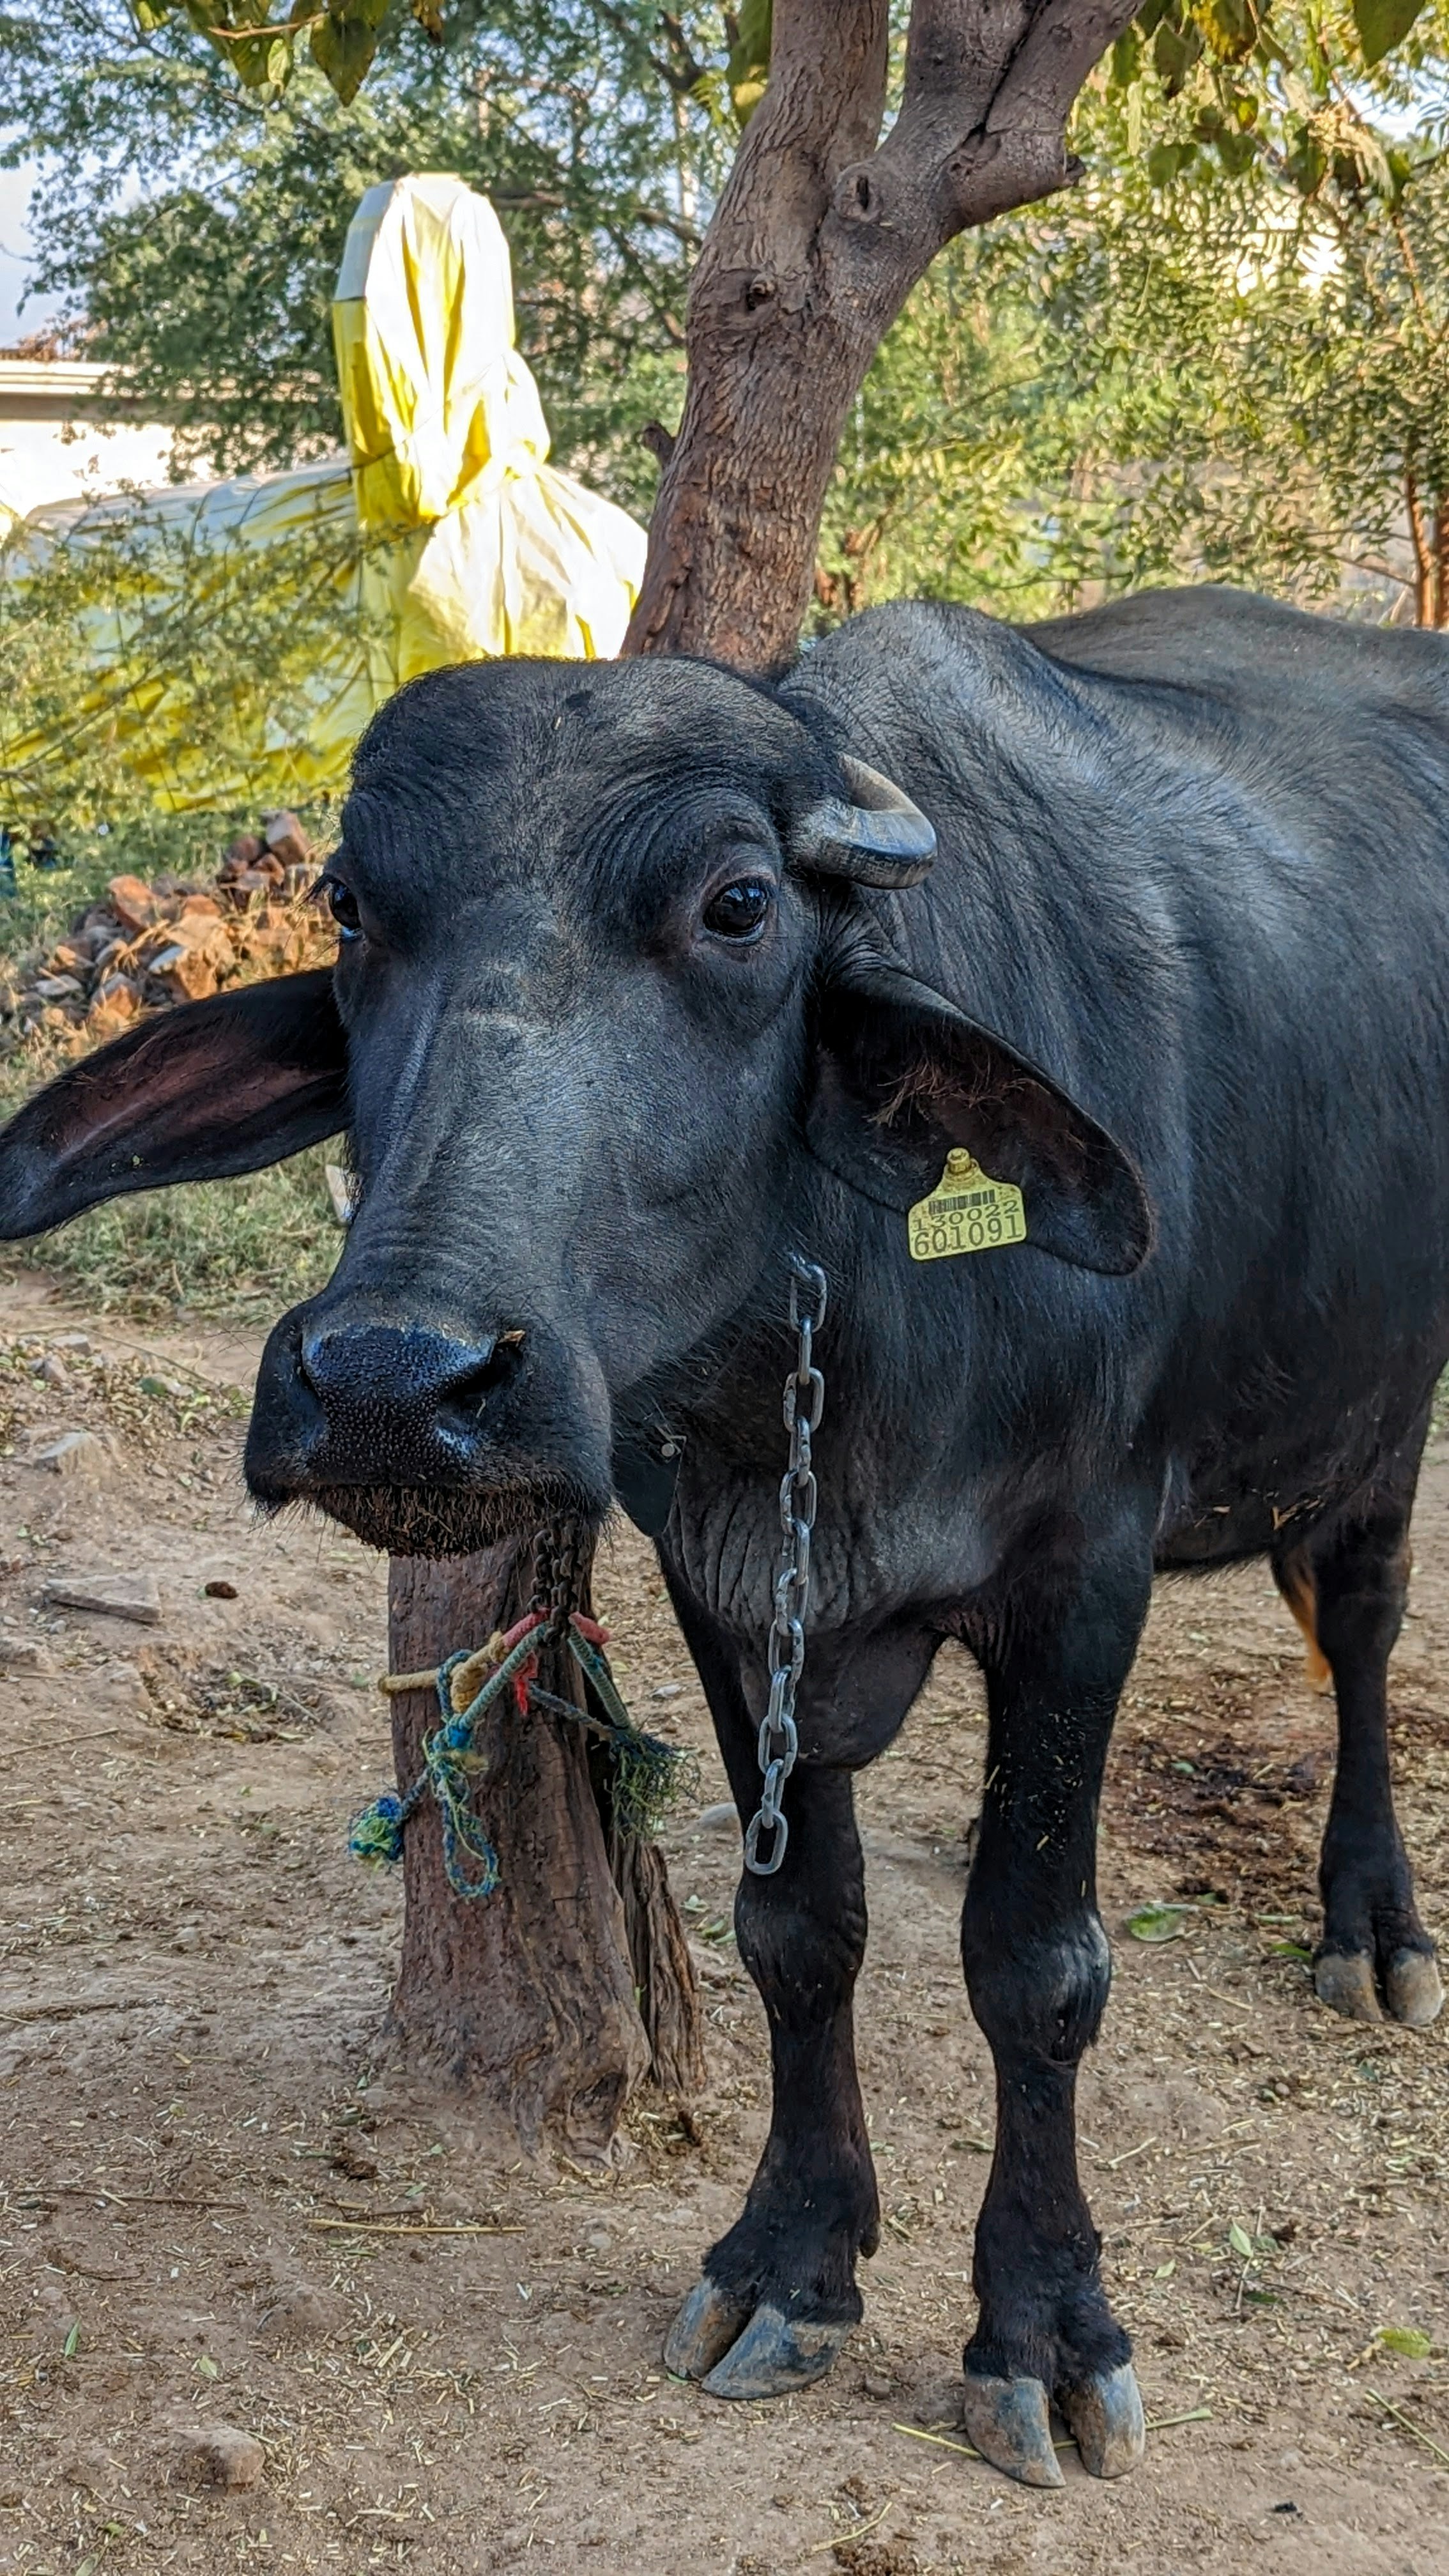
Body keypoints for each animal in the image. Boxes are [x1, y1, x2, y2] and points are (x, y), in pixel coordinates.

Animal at [1, 585, 1445, 2491]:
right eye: (356, 908)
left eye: (738, 907)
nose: (390, 1380)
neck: (831, 1339)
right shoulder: (722, 1576)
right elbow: (795, 1932)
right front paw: (792, 2262)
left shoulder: (1086, 1574)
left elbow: (1037, 1962)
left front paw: (1045, 2330)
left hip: (1393, 1394)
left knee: (1357, 1619)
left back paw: (1375, 1926)